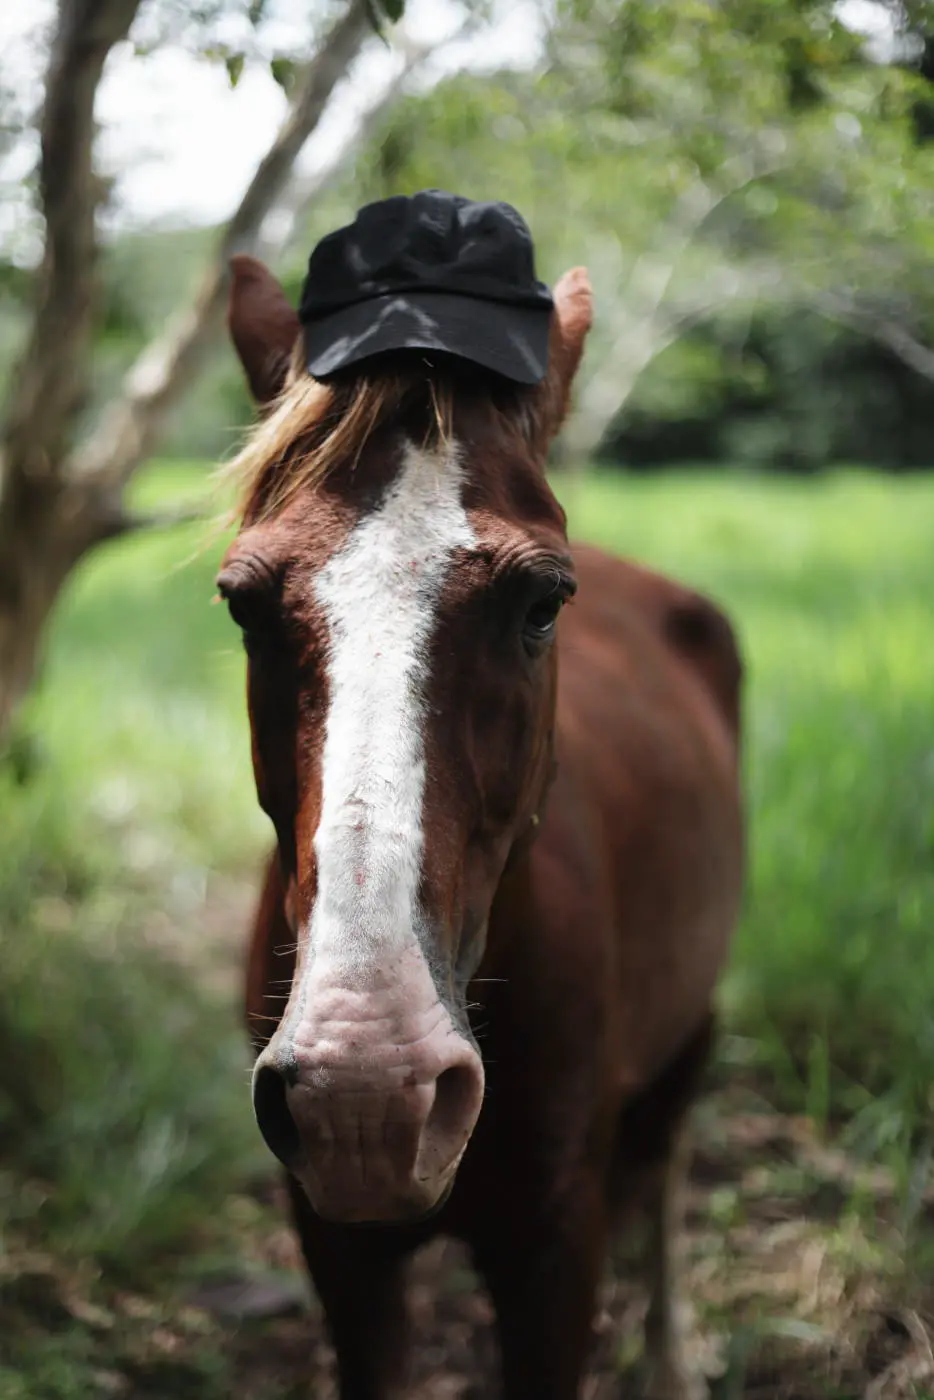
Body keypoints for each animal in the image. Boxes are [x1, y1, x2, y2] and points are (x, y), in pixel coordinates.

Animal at [218, 253, 745, 1400]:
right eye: (241, 603)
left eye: (543, 603)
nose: (367, 1090)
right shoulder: (342, 1253)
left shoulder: (555, 1244)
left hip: (689, 1033)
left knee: (666, 1167)